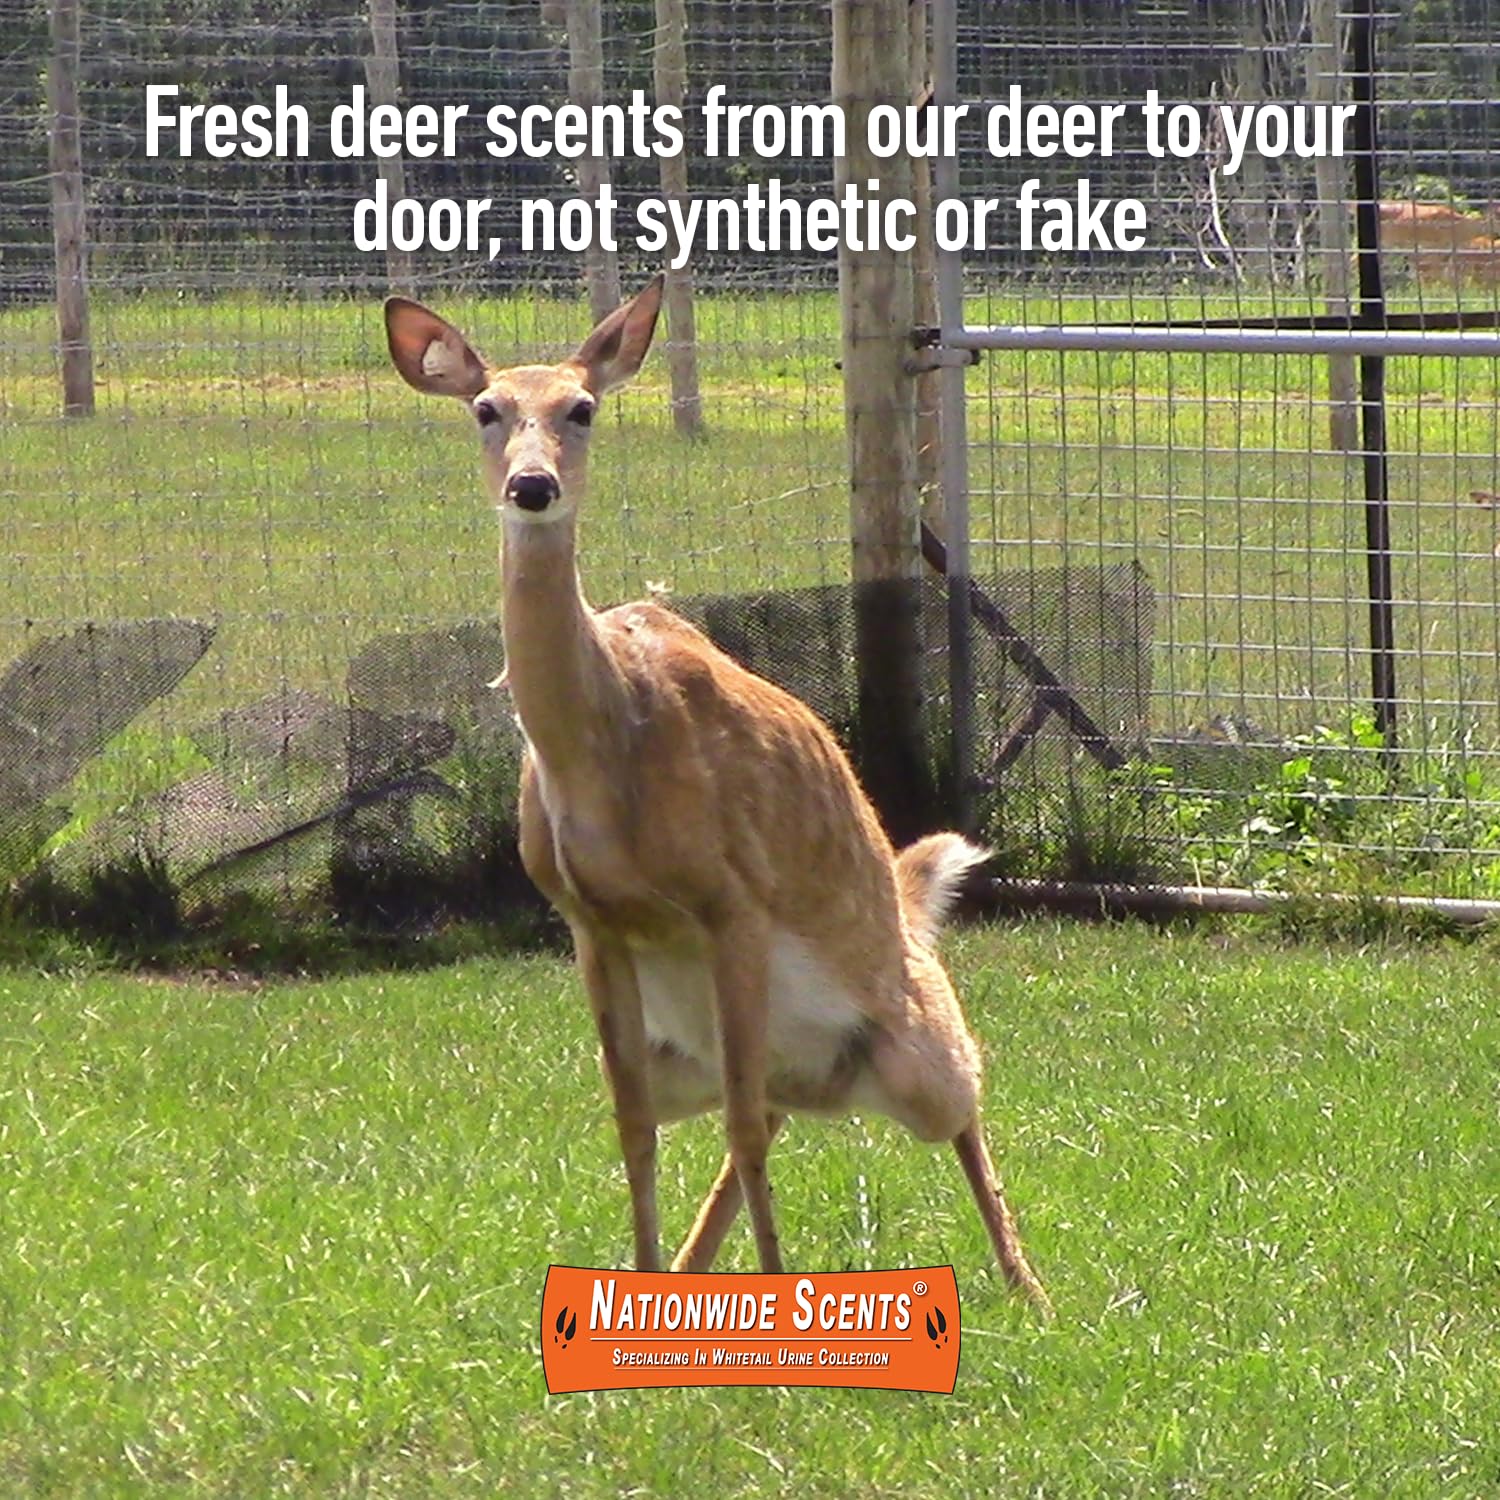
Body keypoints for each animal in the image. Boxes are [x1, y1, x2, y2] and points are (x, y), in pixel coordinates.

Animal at [383, 277, 1051, 1315]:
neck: (602, 756)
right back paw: (693, 1273)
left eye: (582, 408)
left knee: (956, 1097)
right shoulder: (589, 922)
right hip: (708, 1054)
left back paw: (1030, 1287)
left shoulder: (733, 897)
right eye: (486, 409)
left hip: (909, 1044)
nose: (532, 487)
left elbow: (736, 1123)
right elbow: (632, 1127)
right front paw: (643, 1291)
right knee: (763, 1110)